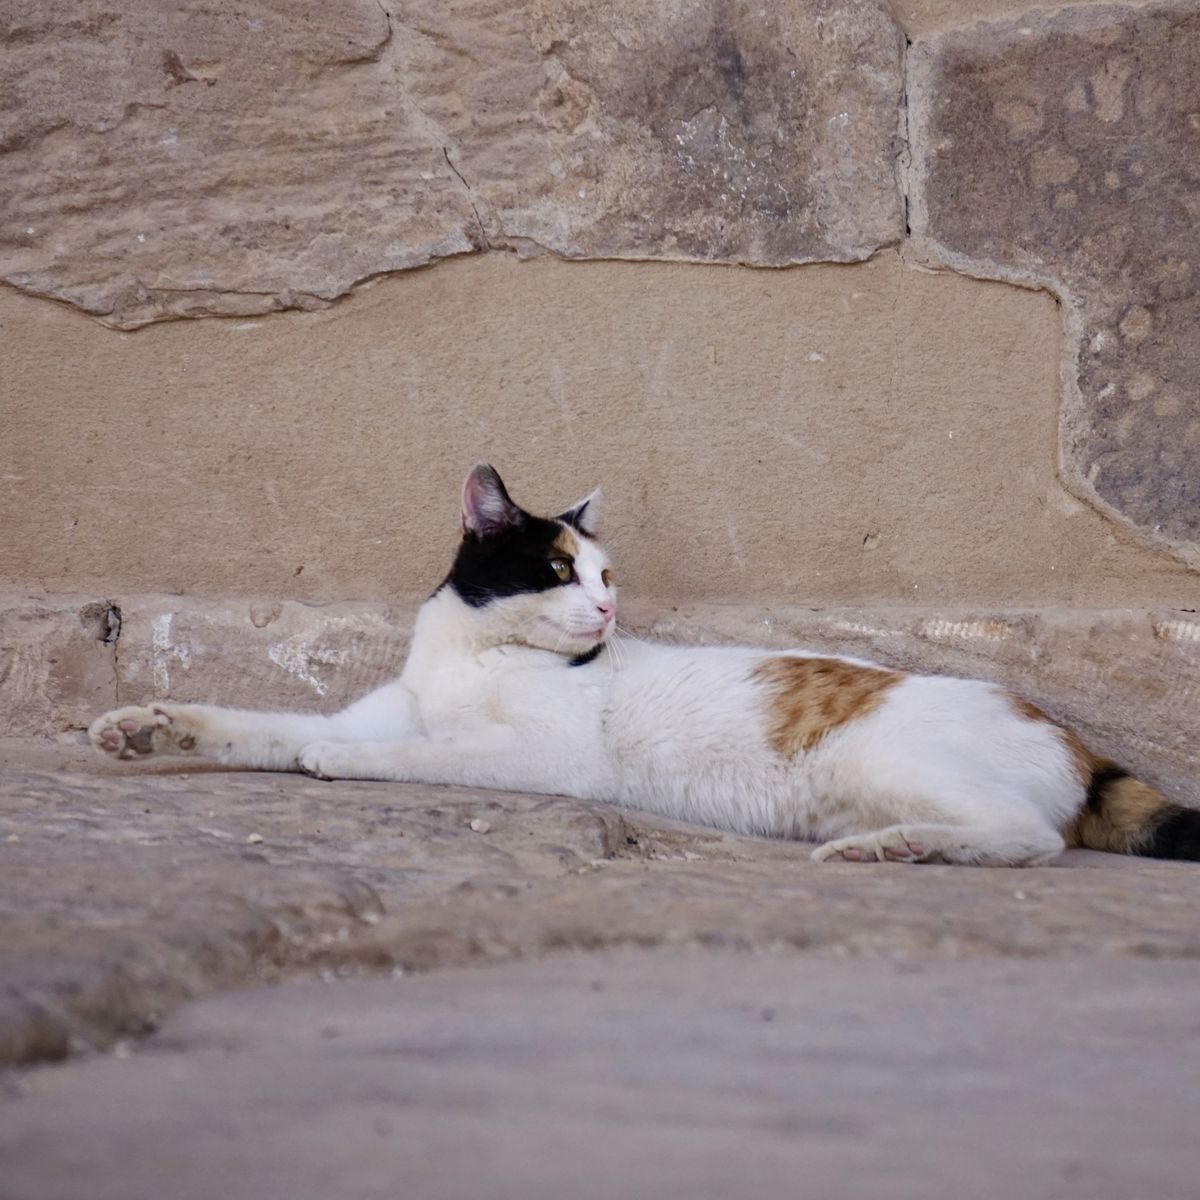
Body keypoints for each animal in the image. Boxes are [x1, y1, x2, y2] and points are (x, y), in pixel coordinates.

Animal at [91, 463, 1200, 868]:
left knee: (1031, 840)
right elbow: (265, 728)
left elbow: (415, 756)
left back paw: (896, 851)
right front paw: (145, 727)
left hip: (894, 762)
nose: (609, 606)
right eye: (558, 568)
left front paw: (350, 769)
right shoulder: (364, 711)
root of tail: (1073, 736)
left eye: (607, 573)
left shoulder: (546, 763)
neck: (473, 659)